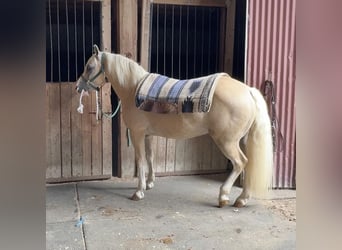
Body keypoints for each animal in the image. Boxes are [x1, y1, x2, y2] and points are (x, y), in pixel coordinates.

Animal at [77, 44, 272, 207]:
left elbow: (140, 160)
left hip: (227, 141)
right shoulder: (148, 134)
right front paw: (149, 183)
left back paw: (224, 196)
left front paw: (139, 192)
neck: (133, 89)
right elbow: (150, 157)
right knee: (248, 164)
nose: (79, 86)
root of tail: (248, 91)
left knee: (240, 163)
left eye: (90, 67)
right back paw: (242, 198)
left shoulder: (137, 133)